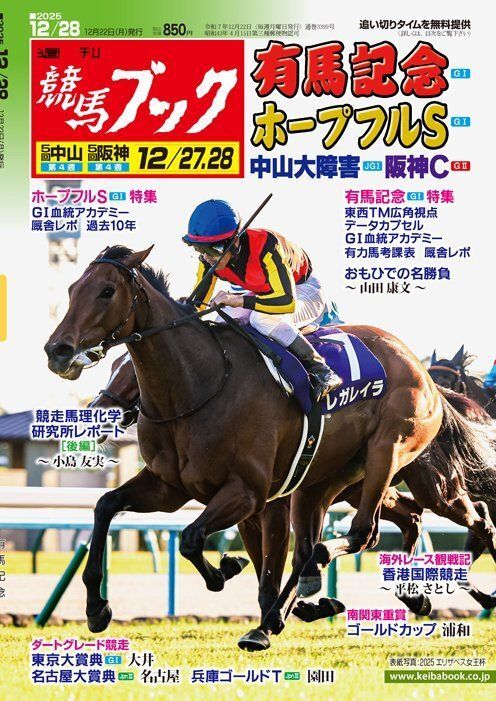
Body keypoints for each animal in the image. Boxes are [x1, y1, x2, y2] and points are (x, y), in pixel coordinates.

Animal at [44, 245, 496, 649]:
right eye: (71, 289)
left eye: (106, 291)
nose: (58, 351)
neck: (201, 385)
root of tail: (422, 371)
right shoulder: (172, 488)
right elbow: (106, 506)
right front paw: (96, 608)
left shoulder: (251, 492)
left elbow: (198, 540)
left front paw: (228, 573)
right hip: (332, 483)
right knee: (398, 522)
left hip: (400, 459)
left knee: (398, 527)